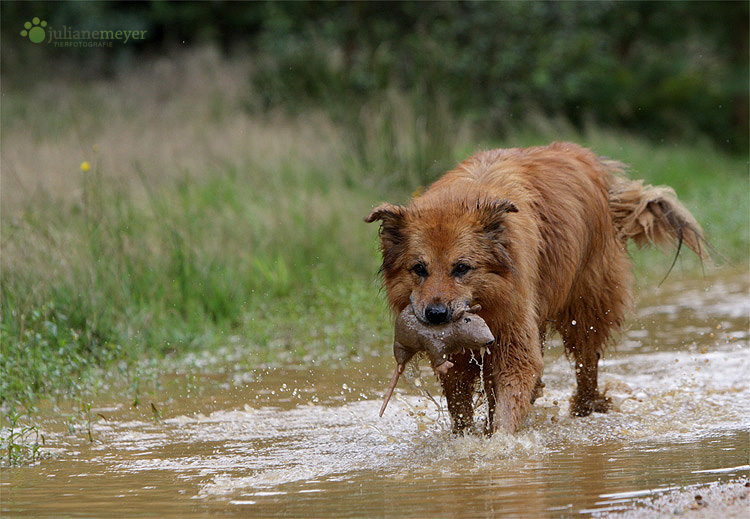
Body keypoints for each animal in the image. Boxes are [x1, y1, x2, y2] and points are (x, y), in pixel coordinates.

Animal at [368, 141, 708, 434]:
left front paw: (499, 443)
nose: (436, 315)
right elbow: (461, 407)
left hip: (585, 308)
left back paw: (585, 408)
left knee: (587, 363)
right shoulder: (461, 357)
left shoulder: (513, 332)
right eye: (419, 269)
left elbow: (513, 389)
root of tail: (588, 160)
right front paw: (466, 439)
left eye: (462, 268)